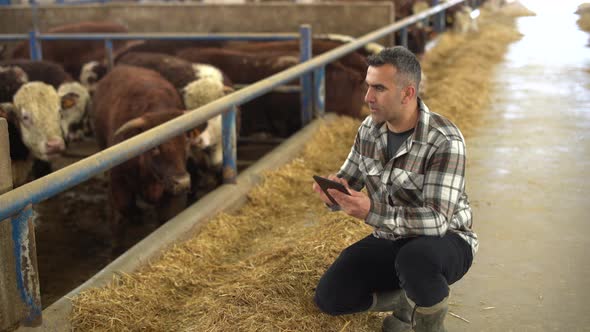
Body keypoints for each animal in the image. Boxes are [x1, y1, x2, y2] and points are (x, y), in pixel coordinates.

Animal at [91, 65, 192, 254]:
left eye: (186, 142)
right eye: (155, 148)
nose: (182, 182)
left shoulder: (172, 194)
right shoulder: (118, 182)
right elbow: (125, 208)